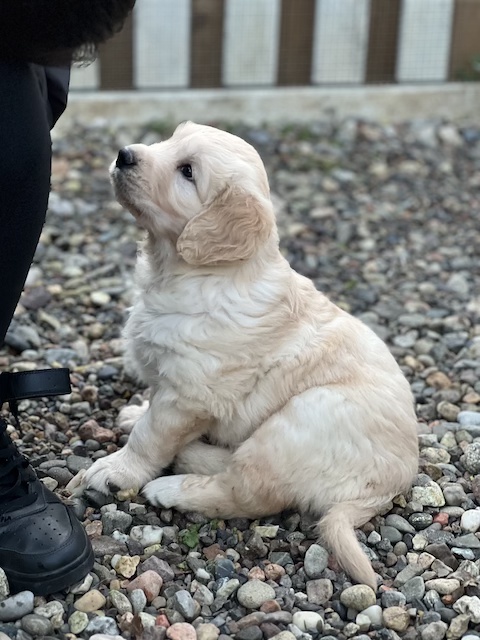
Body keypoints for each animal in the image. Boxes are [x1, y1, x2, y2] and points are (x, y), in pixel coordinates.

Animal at [67, 122, 418, 589]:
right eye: (169, 140)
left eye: (187, 172)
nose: (125, 154)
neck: (191, 273)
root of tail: (393, 483)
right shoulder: (171, 377)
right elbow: (150, 410)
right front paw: (134, 412)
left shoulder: (190, 392)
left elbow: (151, 436)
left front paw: (117, 470)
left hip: (304, 417)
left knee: (247, 492)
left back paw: (173, 487)